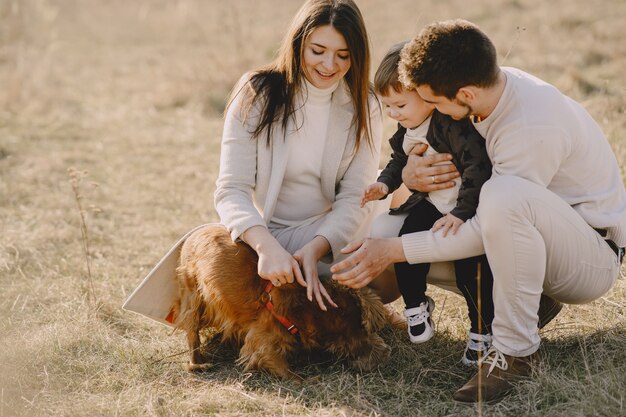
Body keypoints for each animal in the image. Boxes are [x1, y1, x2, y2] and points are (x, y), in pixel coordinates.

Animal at [171, 224, 390, 380]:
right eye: (369, 333)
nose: (385, 354)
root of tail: (194, 234)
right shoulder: (262, 342)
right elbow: (285, 370)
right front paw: (305, 379)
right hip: (193, 296)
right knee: (192, 334)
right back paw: (197, 363)